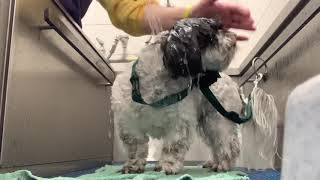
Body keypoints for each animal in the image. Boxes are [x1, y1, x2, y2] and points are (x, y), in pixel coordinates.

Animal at [112, 18, 240, 174]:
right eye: (210, 36)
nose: (234, 38)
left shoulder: (179, 122)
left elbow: (172, 146)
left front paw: (168, 165)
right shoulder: (130, 124)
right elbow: (135, 147)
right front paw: (133, 165)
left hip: (217, 120)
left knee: (227, 144)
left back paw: (223, 164)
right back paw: (213, 163)